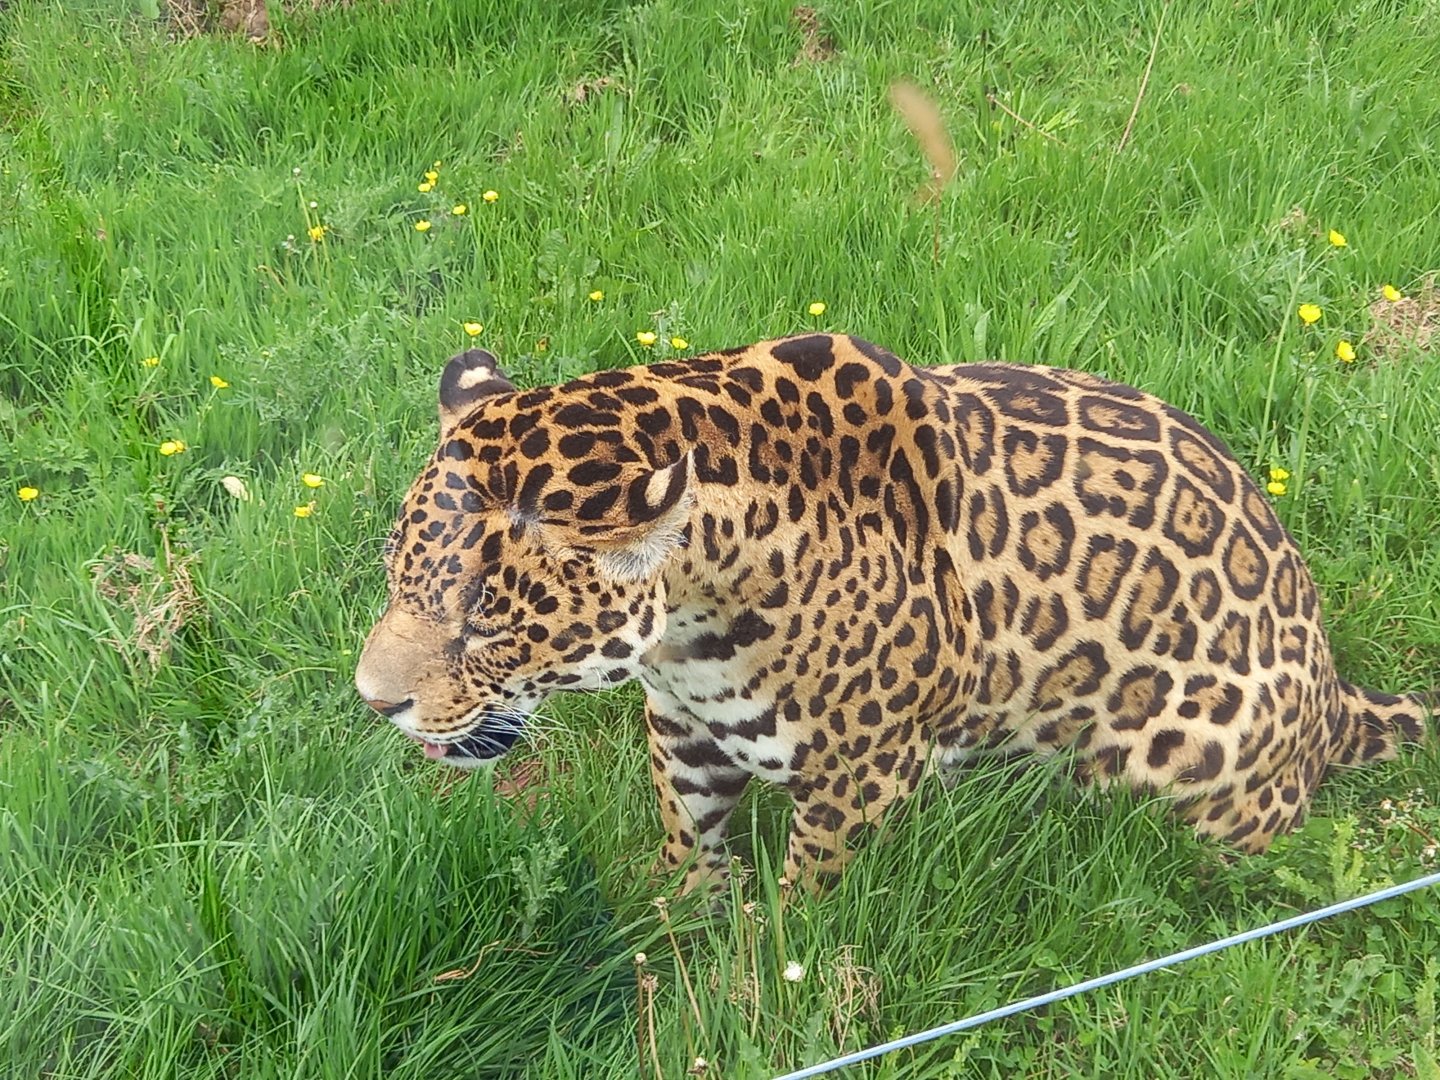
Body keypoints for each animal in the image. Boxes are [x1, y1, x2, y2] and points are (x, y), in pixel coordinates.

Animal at [355, 334, 1430, 892]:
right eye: (395, 577)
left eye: (485, 622)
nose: (373, 701)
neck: (693, 625)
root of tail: (1334, 693)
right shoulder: (684, 726)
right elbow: (685, 838)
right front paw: (680, 922)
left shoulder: (856, 775)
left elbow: (810, 899)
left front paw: (766, 980)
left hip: (1185, 765)